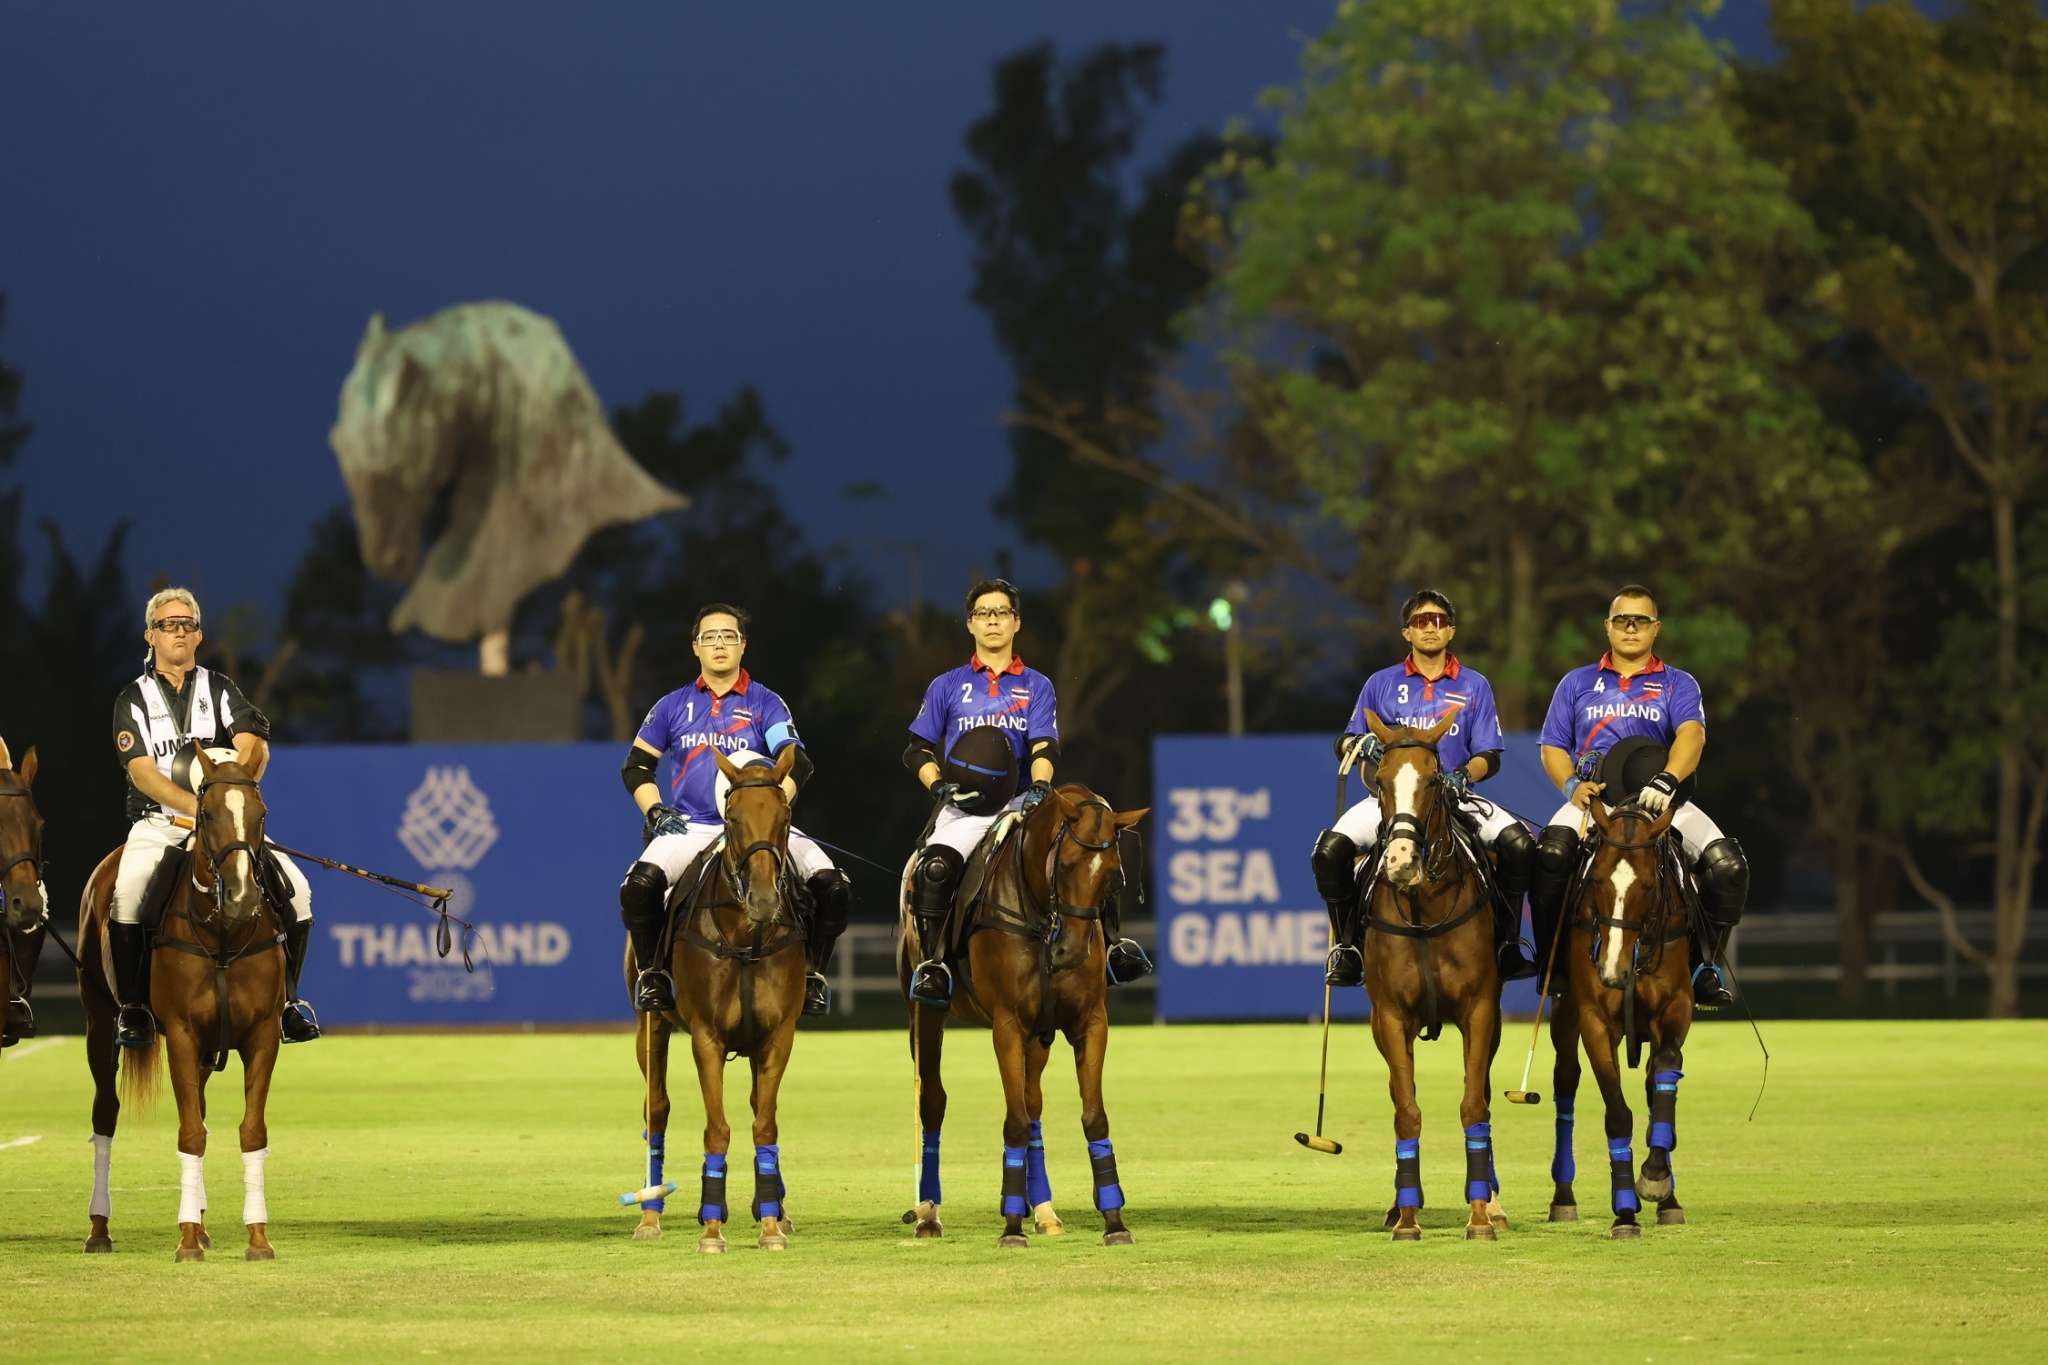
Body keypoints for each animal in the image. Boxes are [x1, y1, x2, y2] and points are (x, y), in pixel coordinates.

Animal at [78, 745, 287, 1260]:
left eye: (261, 814)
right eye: (207, 813)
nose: (242, 897)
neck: (222, 935)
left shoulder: (262, 1036)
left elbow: (249, 1131)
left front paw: (257, 1237)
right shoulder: (181, 1035)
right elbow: (190, 1133)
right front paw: (188, 1240)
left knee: (203, 1111)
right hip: (99, 1021)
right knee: (105, 1113)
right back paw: (99, 1229)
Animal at [627, 745, 805, 1254]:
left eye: (785, 817)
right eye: (732, 817)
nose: (764, 900)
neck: (745, 936)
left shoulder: (778, 1036)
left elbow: (764, 1123)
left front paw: (770, 1225)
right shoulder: (705, 1036)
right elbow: (716, 1128)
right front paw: (710, 1230)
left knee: (756, 1105)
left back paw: (772, 1206)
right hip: (651, 1024)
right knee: (657, 1108)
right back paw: (650, 1214)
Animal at [897, 783, 1148, 1248]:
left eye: (1114, 877)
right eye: (1065, 865)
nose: (1069, 953)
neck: (1039, 915)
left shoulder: (1089, 1023)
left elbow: (1091, 1118)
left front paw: (1114, 1221)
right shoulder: (1007, 1025)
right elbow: (1012, 1122)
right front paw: (1011, 1227)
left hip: (1040, 1035)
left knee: (1033, 1104)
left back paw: (1045, 1211)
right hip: (924, 1013)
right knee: (933, 1101)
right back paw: (928, 1215)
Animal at [1355, 709, 1508, 1242]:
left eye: (1434, 781)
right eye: (1380, 780)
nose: (1401, 862)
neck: (1424, 906)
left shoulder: (1480, 1011)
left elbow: (1473, 1105)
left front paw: (1480, 1216)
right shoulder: (1390, 1018)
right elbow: (1406, 1110)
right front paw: (1406, 1216)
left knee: (1483, 1092)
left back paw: (1495, 1204)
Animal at [1546, 798, 1692, 1238]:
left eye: (1648, 886)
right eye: (1596, 881)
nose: (1612, 972)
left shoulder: (1677, 1006)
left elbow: (1663, 1078)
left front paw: (1658, 1178)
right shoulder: (1595, 1019)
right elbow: (1617, 1112)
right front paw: (1625, 1211)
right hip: (1566, 1014)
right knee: (1566, 1080)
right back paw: (1563, 1197)